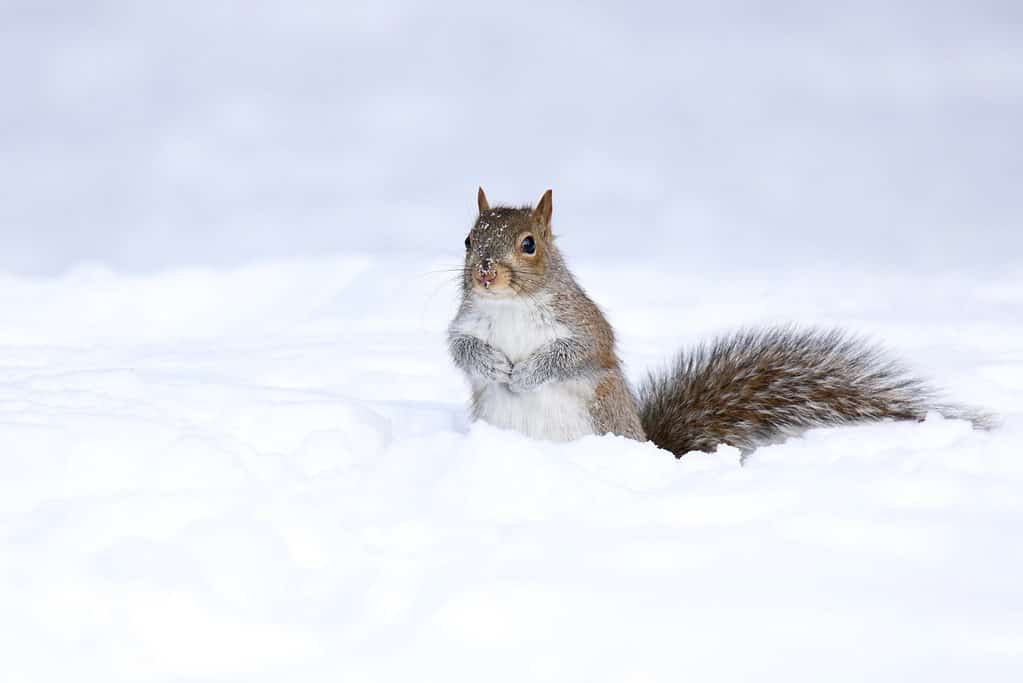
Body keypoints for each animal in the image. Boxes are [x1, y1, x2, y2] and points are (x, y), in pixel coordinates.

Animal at [448, 187, 990, 456]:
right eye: (469, 240)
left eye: (528, 244)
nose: (485, 272)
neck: (509, 305)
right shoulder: (466, 321)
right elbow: (459, 347)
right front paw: (493, 365)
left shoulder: (586, 327)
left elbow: (575, 354)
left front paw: (527, 371)